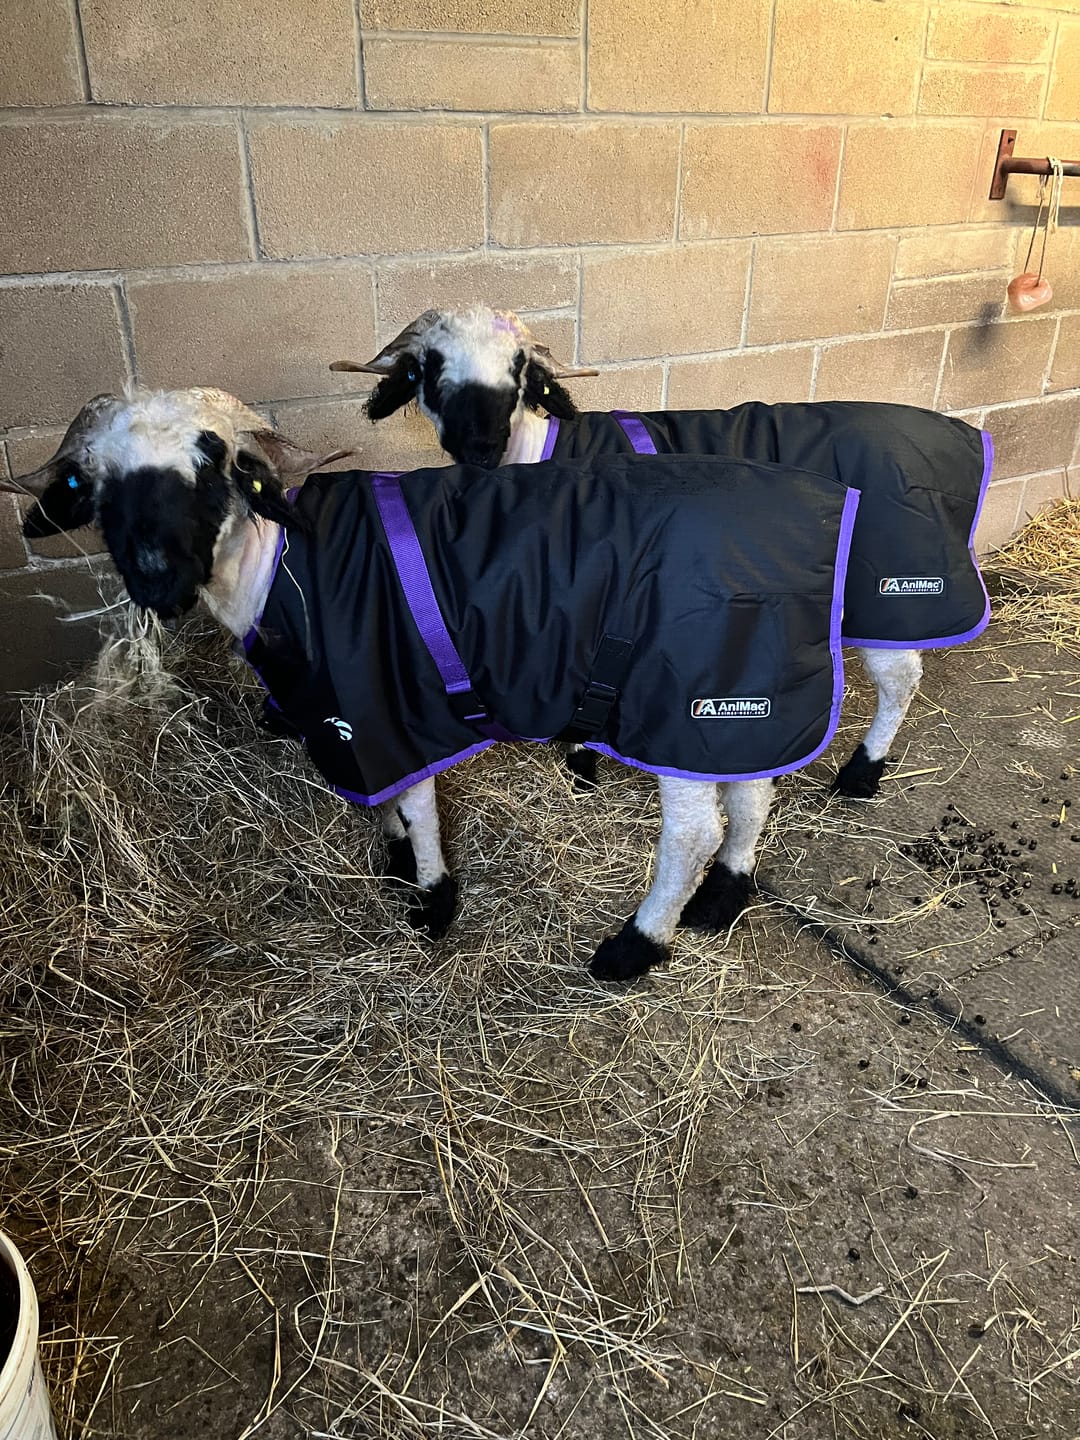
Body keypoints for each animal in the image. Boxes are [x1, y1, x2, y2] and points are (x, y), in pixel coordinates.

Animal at [2, 387, 860, 982]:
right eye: (94, 485)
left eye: (211, 464)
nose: (156, 578)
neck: (276, 564)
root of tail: (824, 517)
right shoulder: (349, 720)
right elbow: (381, 802)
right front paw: (391, 862)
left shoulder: (387, 707)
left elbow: (416, 808)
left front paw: (432, 901)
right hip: (743, 694)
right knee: (753, 793)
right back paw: (724, 898)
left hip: (683, 703)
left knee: (692, 833)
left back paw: (635, 946)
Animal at [333, 306, 993, 918]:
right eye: (427, 366)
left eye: (519, 367)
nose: (480, 447)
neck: (533, 452)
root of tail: (960, 434)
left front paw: (583, 760)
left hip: (892, 592)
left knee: (901, 680)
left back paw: (862, 773)